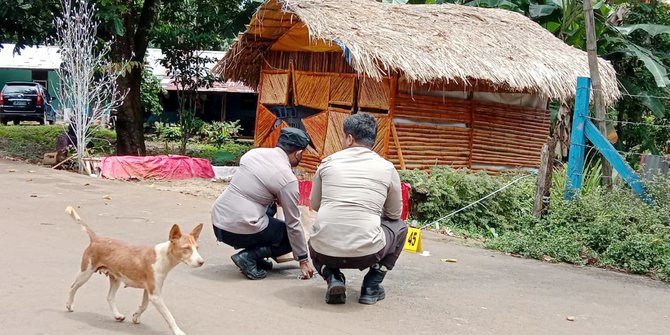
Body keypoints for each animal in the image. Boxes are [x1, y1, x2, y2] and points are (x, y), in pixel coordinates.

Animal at [67, 206, 207, 334]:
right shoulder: (155, 295)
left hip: (116, 278)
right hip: (85, 273)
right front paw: (178, 331)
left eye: (197, 248)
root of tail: (96, 239)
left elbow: (144, 305)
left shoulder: (149, 290)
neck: (163, 256)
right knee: (73, 287)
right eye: (186, 248)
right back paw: (69, 305)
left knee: (110, 297)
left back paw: (117, 315)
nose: (201, 262)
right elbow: (169, 316)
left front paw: (136, 316)